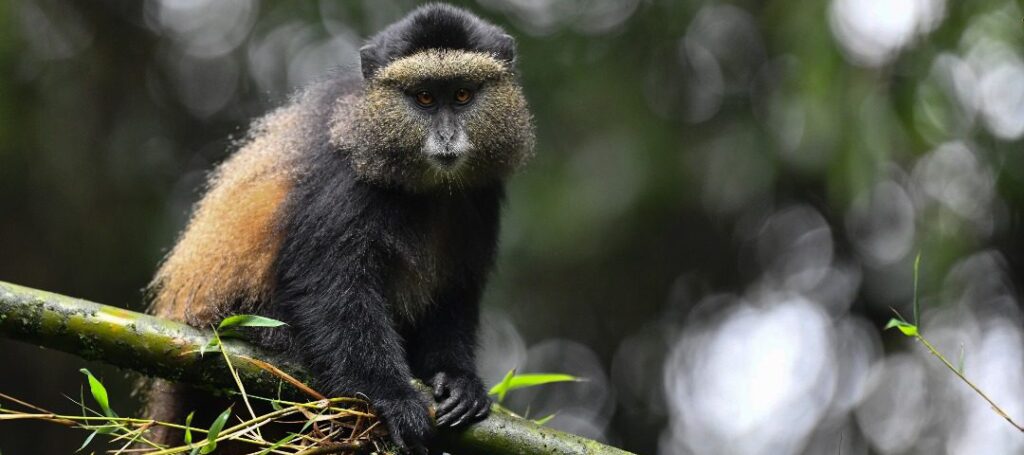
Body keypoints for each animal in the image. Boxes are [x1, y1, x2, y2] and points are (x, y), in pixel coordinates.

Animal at [143, 4, 534, 453]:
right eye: (424, 98)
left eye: (463, 95)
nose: (447, 137)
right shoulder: (345, 172)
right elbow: (329, 284)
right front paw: (392, 396)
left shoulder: (481, 195)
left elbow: (454, 292)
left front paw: (458, 380)